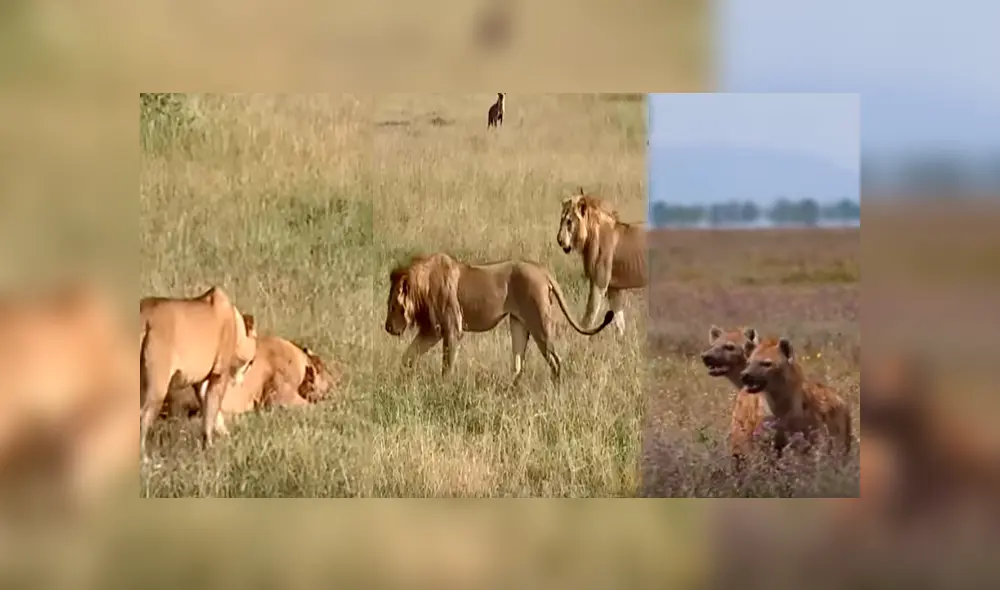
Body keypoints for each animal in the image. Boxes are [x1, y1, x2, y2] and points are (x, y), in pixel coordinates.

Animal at [138, 286, 257, 462]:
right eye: (251, 362)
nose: (240, 382)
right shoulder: (219, 375)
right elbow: (211, 411)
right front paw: (210, 447)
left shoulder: (200, 382)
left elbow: (211, 412)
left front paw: (226, 437)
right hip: (157, 386)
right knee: (141, 417)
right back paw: (145, 459)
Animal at [383, 252, 614, 384]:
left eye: (394, 306)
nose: (387, 328)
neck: (423, 286)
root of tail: (542, 270)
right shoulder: (433, 330)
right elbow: (408, 355)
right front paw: (402, 378)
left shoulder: (452, 328)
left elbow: (447, 365)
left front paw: (443, 387)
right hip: (518, 323)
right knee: (518, 365)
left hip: (539, 323)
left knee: (555, 361)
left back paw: (555, 391)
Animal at [556, 188, 647, 335]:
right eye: (561, 220)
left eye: (569, 221)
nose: (559, 240)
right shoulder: (613, 288)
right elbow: (619, 320)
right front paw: (621, 339)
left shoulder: (599, 283)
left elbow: (589, 316)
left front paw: (579, 335)